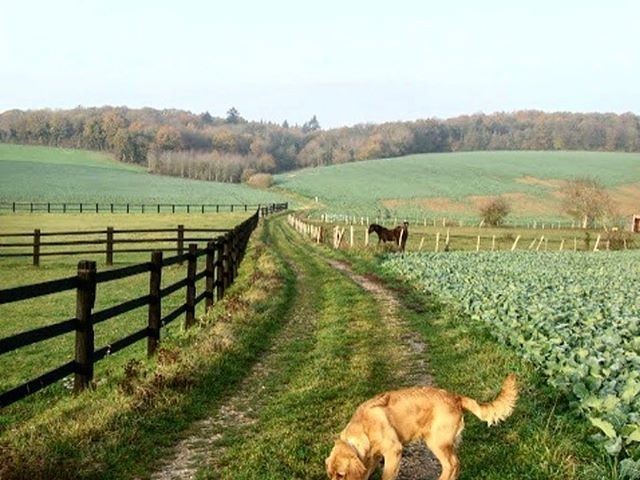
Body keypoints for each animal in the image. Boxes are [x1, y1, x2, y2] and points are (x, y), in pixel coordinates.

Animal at [328, 376, 516, 480]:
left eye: (341, 475)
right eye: (330, 475)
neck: (363, 427)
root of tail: (456, 398)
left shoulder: (393, 451)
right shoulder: (372, 457)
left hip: (436, 442)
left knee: (451, 465)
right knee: (456, 464)